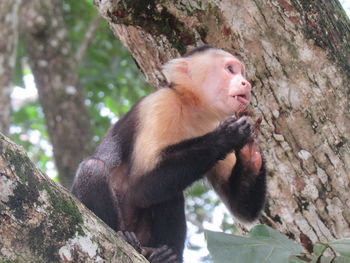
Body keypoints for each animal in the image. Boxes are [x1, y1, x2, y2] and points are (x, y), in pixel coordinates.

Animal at [72, 46, 268, 263]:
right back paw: (123, 236)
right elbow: (141, 186)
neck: (192, 108)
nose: (246, 83)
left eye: (241, 73)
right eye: (230, 70)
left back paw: (167, 255)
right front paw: (227, 136)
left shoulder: (209, 123)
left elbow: (242, 209)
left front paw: (251, 153)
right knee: (94, 169)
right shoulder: (161, 105)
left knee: (170, 192)